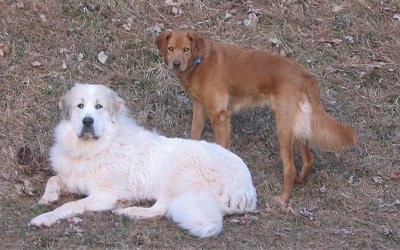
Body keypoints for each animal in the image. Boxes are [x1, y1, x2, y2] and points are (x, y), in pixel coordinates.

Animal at [29, 83, 258, 237]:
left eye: (99, 107)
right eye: (80, 106)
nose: (87, 121)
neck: (95, 147)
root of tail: (248, 191)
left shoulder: (104, 196)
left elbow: (69, 206)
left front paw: (44, 218)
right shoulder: (74, 179)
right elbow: (53, 179)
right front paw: (48, 197)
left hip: (178, 170)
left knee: (160, 209)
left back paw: (129, 211)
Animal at [155, 29, 356, 205]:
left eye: (186, 49)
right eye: (171, 49)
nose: (176, 63)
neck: (201, 61)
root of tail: (306, 75)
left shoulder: (220, 116)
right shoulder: (200, 108)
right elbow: (194, 136)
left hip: (284, 129)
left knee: (290, 168)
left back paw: (283, 199)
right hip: (298, 127)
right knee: (308, 159)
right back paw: (300, 181)